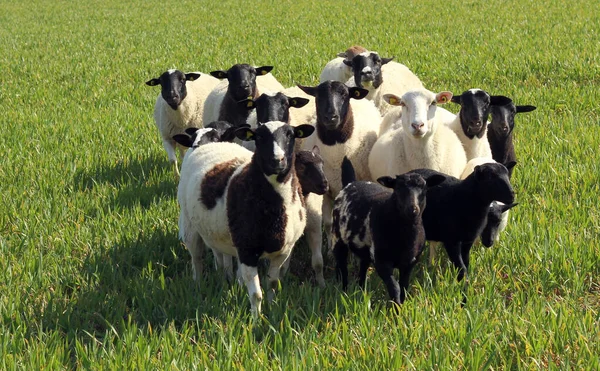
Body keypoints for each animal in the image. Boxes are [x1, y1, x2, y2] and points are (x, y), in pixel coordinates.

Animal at [177, 121, 314, 316]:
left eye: (291, 134)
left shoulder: (283, 251)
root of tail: (207, 145)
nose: (277, 160)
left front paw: (272, 310)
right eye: (259, 137)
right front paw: (257, 319)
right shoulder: (247, 250)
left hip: (216, 232)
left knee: (219, 256)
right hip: (190, 225)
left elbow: (272, 284)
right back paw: (198, 286)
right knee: (196, 258)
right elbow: (256, 294)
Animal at [298, 80, 382, 246]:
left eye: (344, 94)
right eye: (318, 96)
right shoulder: (325, 190)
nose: (331, 117)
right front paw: (331, 247)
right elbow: (329, 223)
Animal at [330, 157, 442, 306]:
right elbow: (395, 288)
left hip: (365, 249)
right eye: (398, 188)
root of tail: (350, 183)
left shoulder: (409, 263)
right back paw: (343, 291)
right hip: (337, 238)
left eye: (424, 189)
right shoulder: (381, 262)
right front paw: (396, 308)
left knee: (362, 268)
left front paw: (401, 307)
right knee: (341, 266)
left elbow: (404, 287)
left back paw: (361, 291)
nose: (413, 210)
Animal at [408, 164, 516, 294]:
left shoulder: (467, 241)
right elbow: (461, 268)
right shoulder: (451, 241)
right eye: (491, 177)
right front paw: (463, 290)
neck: (462, 199)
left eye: (498, 222)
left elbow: (466, 263)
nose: (512, 195)